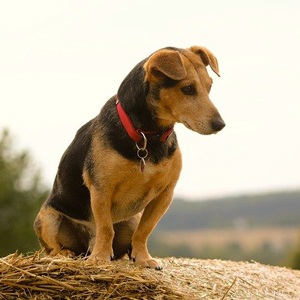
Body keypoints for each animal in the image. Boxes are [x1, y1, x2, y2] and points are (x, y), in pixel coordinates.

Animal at [34, 45, 225, 270]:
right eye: (187, 88)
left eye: (209, 87)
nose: (220, 124)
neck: (147, 137)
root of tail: (85, 246)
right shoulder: (101, 188)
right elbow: (106, 228)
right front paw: (100, 258)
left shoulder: (165, 194)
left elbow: (144, 231)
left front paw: (143, 259)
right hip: (49, 218)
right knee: (53, 248)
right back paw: (68, 254)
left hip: (131, 219)